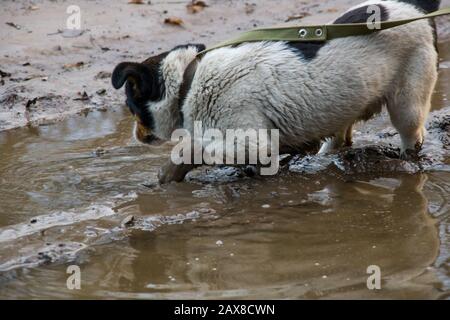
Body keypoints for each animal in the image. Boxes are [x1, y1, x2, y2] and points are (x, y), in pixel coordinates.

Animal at [111, 0, 440, 182]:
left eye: (131, 105)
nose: (134, 135)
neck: (188, 82)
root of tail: (412, 8)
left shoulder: (253, 141)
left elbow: (197, 148)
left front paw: (170, 170)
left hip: (407, 105)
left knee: (411, 135)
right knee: (339, 136)